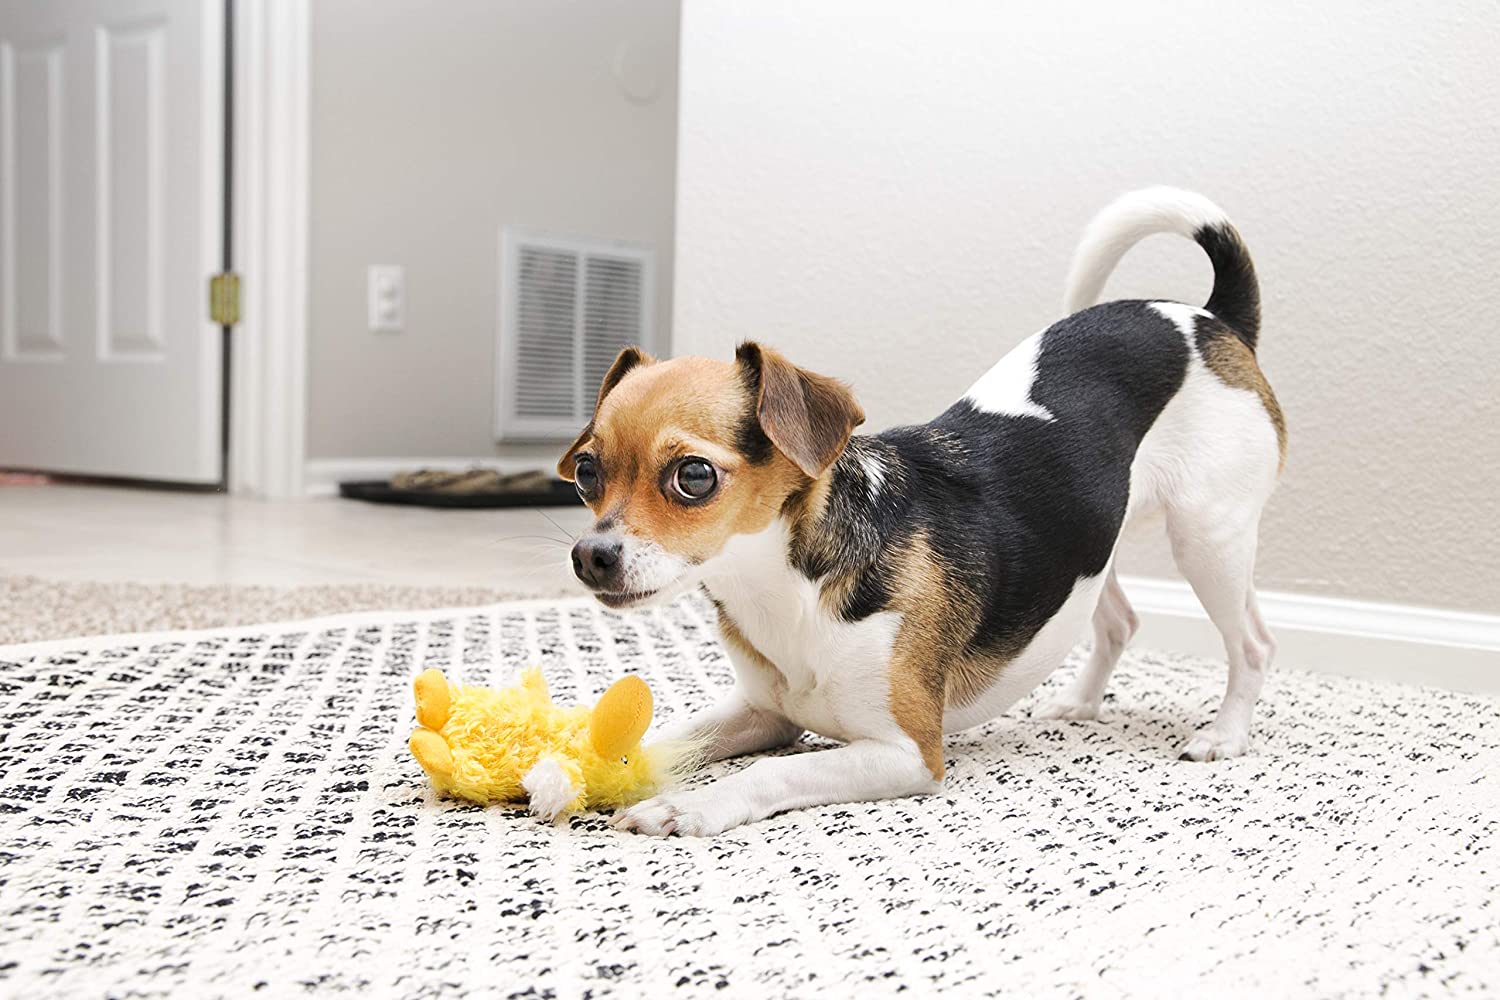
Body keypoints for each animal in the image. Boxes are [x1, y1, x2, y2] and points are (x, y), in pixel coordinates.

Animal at [558, 187, 1284, 839]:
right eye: (587, 472)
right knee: (1122, 620)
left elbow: (769, 773)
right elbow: (664, 736)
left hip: (1207, 537)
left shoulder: (905, 753)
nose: (590, 557)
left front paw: (684, 806)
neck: (789, 589)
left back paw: (1224, 734)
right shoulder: (764, 712)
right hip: (1091, 543)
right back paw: (1080, 704)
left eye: (694, 476)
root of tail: (1210, 319)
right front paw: (569, 769)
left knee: (1252, 642)